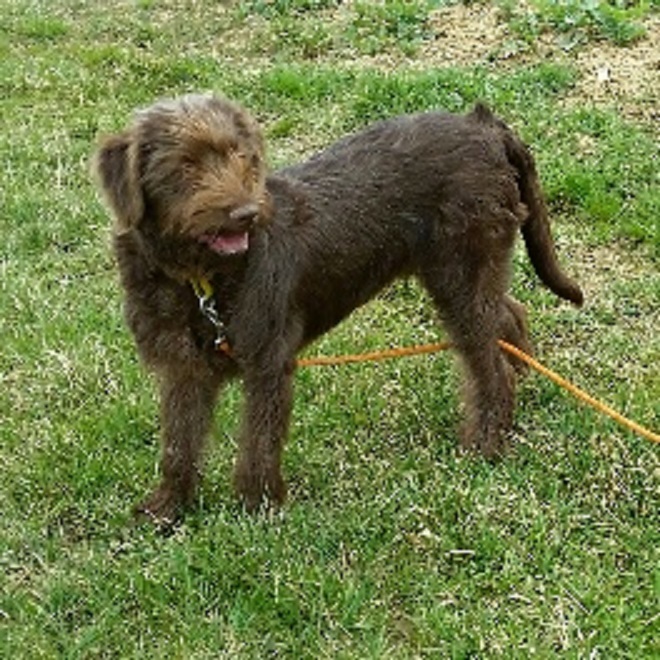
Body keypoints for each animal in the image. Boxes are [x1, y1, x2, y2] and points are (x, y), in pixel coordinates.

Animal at [93, 94, 583, 525]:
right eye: (185, 165)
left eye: (242, 157)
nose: (247, 213)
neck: (200, 279)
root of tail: (483, 124)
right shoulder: (183, 370)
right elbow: (178, 444)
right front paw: (167, 507)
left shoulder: (268, 361)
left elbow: (258, 442)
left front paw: (257, 511)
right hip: (467, 277)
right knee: (509, 316)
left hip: (461, 276)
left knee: (489, 366)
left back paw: (486, 444)